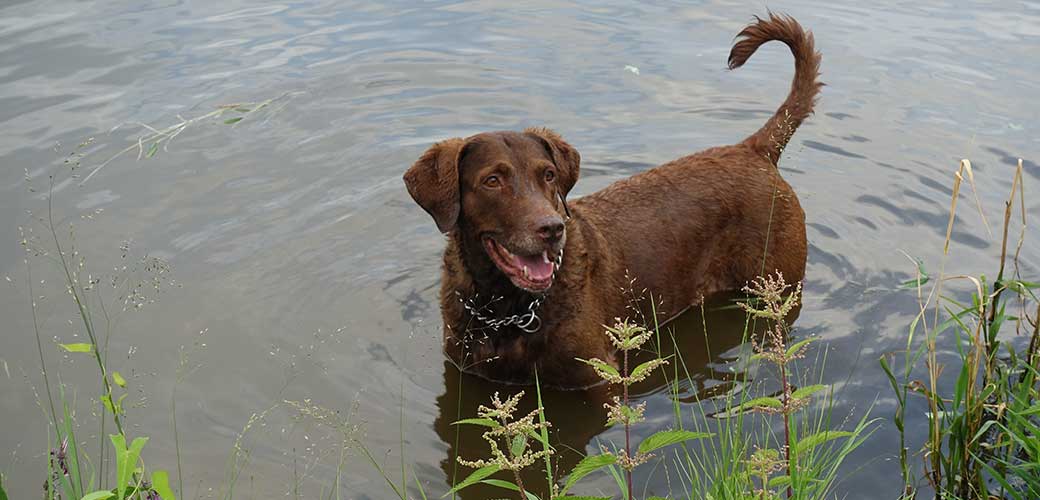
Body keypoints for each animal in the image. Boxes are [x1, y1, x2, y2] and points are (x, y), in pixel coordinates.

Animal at [405, 12, 819, 386]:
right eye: (492, 180)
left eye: (548, 175)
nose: (551, 229)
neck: (506, 308)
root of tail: (754, 149)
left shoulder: (599, 378)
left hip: (778, 283)